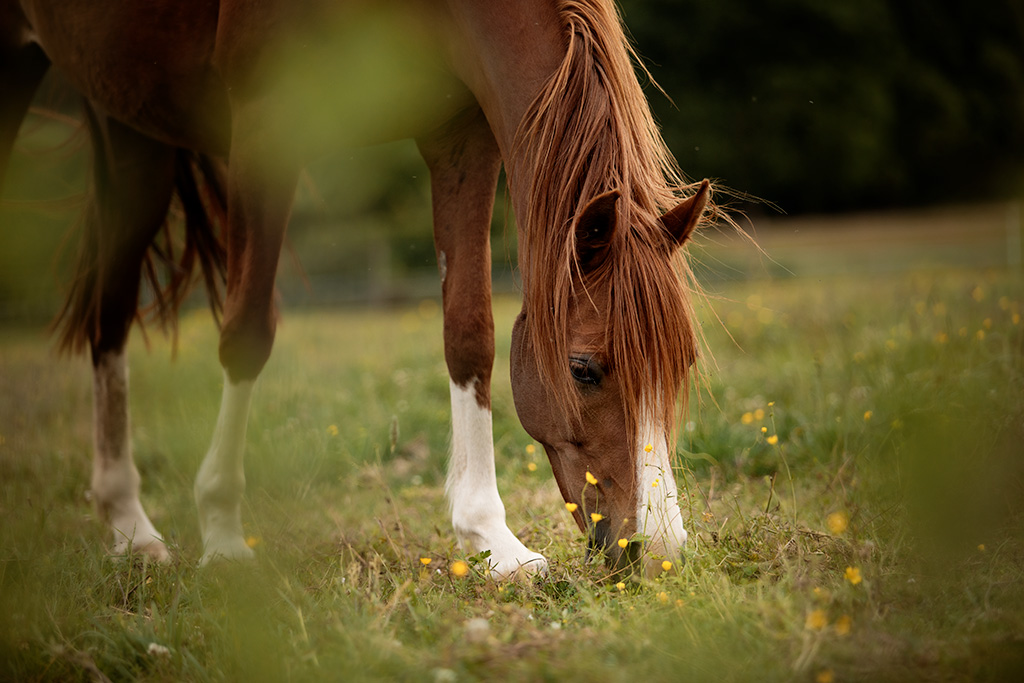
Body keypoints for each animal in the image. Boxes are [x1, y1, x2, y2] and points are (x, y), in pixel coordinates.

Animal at [0, 0, 716, 581]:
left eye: (680, 366)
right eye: (583, 369)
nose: (658, 552)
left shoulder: (459, 138)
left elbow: (469, 333)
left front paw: (492, 539)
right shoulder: (266, 126)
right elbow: (246, 332)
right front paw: (223, 535)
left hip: (132, 130)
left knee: (110, 314)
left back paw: (128, 527)